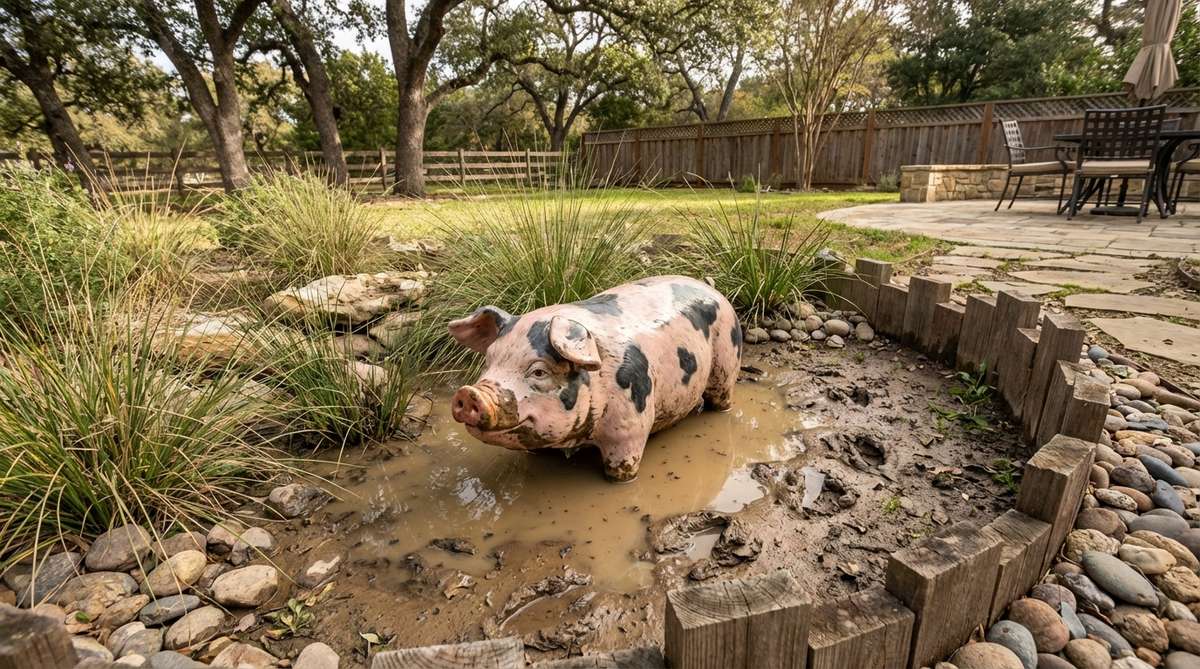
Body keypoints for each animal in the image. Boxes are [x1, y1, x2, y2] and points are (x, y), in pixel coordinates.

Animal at [447, 276, 742, 481]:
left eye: (539, 371)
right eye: (489, 361)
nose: (468, 393)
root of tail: (711, 288)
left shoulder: (630, 427)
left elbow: (624, 466)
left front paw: (621, 479)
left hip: (727, 361)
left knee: (721, 397)